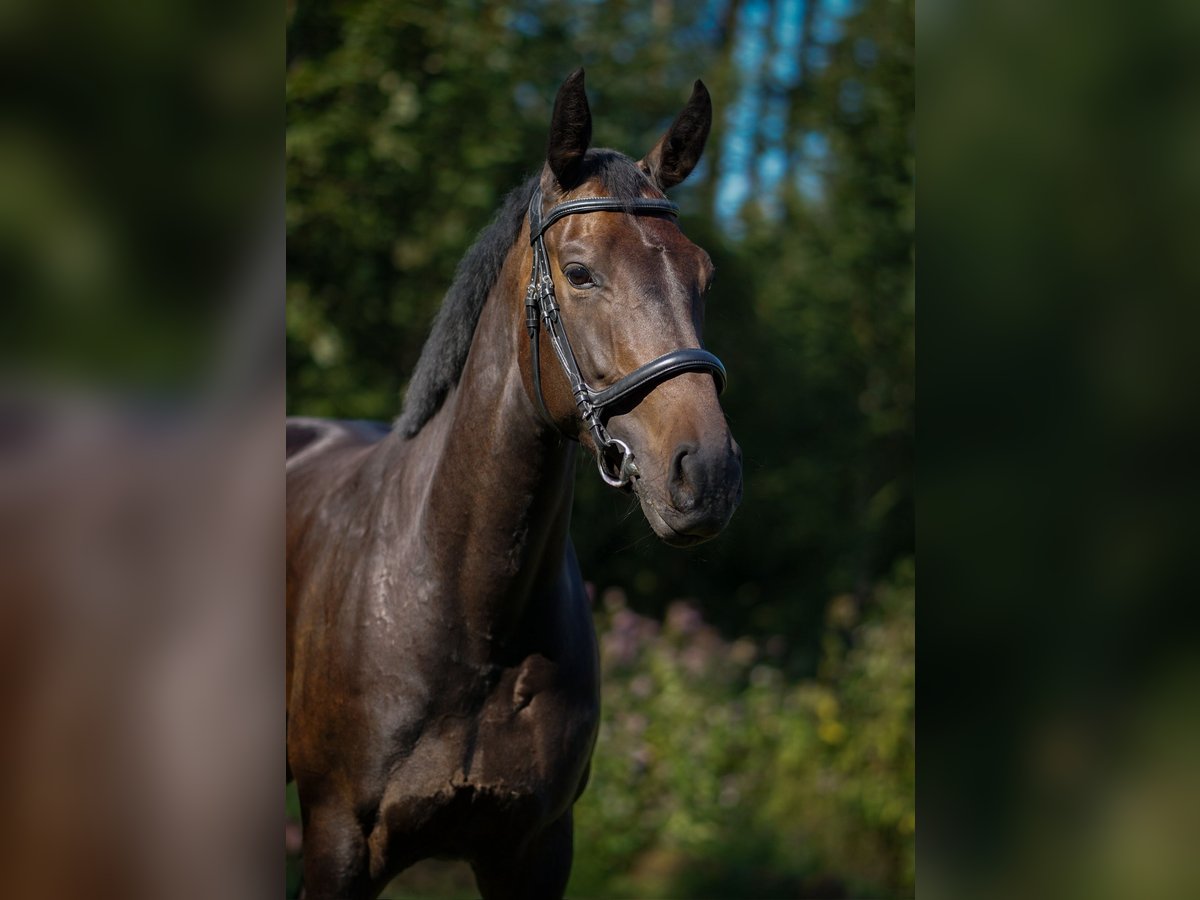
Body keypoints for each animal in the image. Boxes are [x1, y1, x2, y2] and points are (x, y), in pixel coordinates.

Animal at [288, 72, 739, 900]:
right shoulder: (337, 843)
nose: (709, 473)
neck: (470, 617)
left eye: (704, 275)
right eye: (581, 271)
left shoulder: (534, 849)